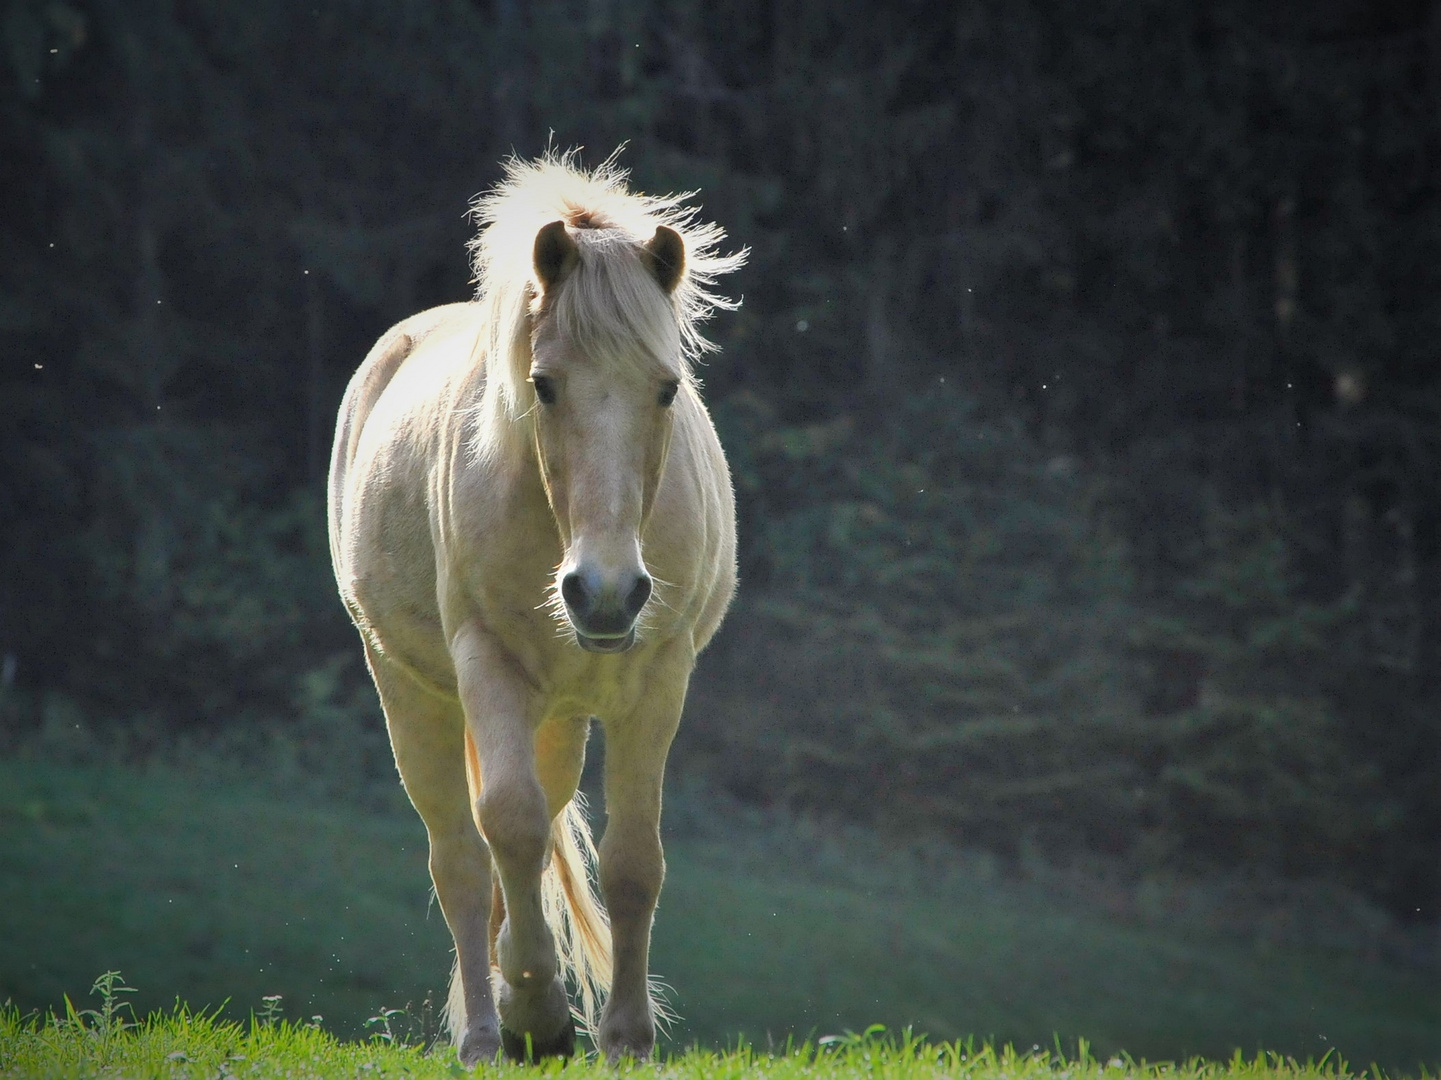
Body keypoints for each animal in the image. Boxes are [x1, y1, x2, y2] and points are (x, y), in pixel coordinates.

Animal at [325, 149, 743, 1061]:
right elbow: (508, 827)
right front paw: (539, 1015)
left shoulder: (660, 679)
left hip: (559, 713)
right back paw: (491, 1028)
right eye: (544, 387)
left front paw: (625, 1037)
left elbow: (632, 861)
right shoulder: (485, 662)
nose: (606, 593)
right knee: (461, 857)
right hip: (412, 690)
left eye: (666, 388)